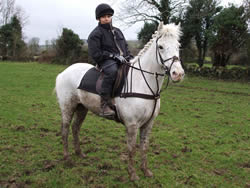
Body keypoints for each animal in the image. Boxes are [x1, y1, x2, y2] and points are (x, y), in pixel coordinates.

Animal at [55, 22, 185, 181]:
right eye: (160, 46)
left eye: (178, 45)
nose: (178, 74)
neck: (142, 82)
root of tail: (63, 73)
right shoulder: (132, 124)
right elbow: (131, 148)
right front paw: (133, 174)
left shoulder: (148, 124)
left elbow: (144, 147)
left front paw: (145, 171)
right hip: (68, 107)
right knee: (65, 129)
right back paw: (67, 158)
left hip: (82, 108)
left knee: (75, 128)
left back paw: (79, 153)